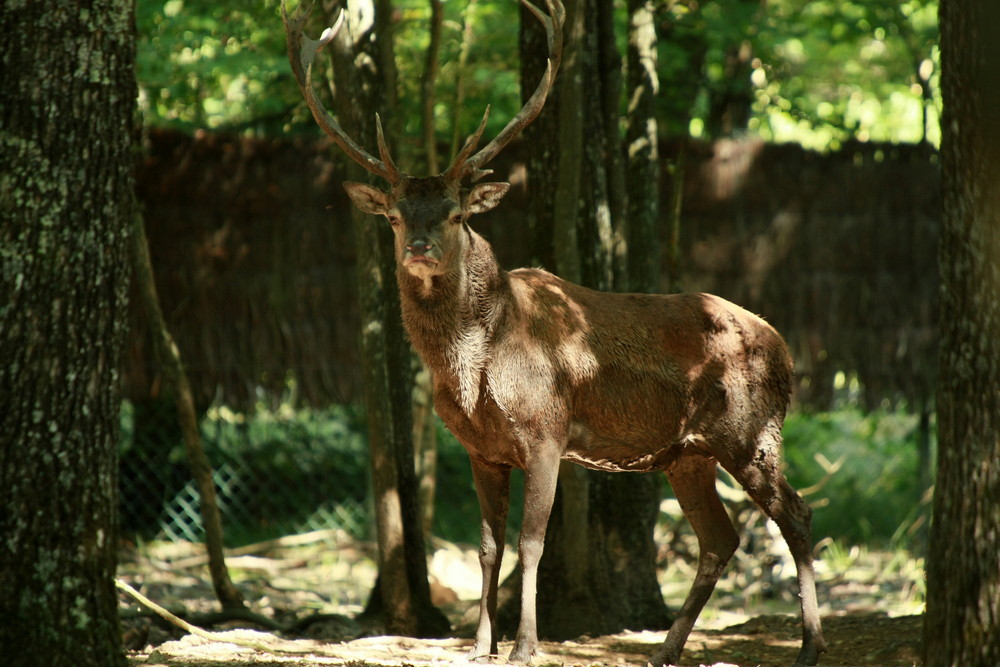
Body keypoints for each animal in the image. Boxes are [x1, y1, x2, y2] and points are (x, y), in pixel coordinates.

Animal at [284, 2, 828, 664]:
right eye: (392, 216)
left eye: (456, 214)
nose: (418, 246)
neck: (477, 366)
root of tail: (786, 351)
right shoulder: (480, 449)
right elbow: (488, 547)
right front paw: (479, 645)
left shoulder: (545, 430)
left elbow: (530, 543)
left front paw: (524, 645)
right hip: (688, 453)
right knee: (719, 539)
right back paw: (666, 649)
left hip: (750, 432)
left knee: (796, 516)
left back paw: (809, 646)